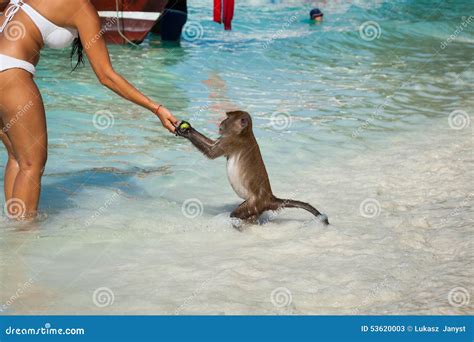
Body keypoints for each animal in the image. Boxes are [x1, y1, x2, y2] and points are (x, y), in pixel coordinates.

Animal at [175, 111, 330, 226]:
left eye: (228, 117)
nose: (221, 122)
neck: (245, 132)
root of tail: (269, 198)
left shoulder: (231, 141)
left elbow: (211, 152)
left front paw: (187, 132)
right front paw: (186, 129)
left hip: (254, 204)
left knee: (237, 214)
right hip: (255, 207)